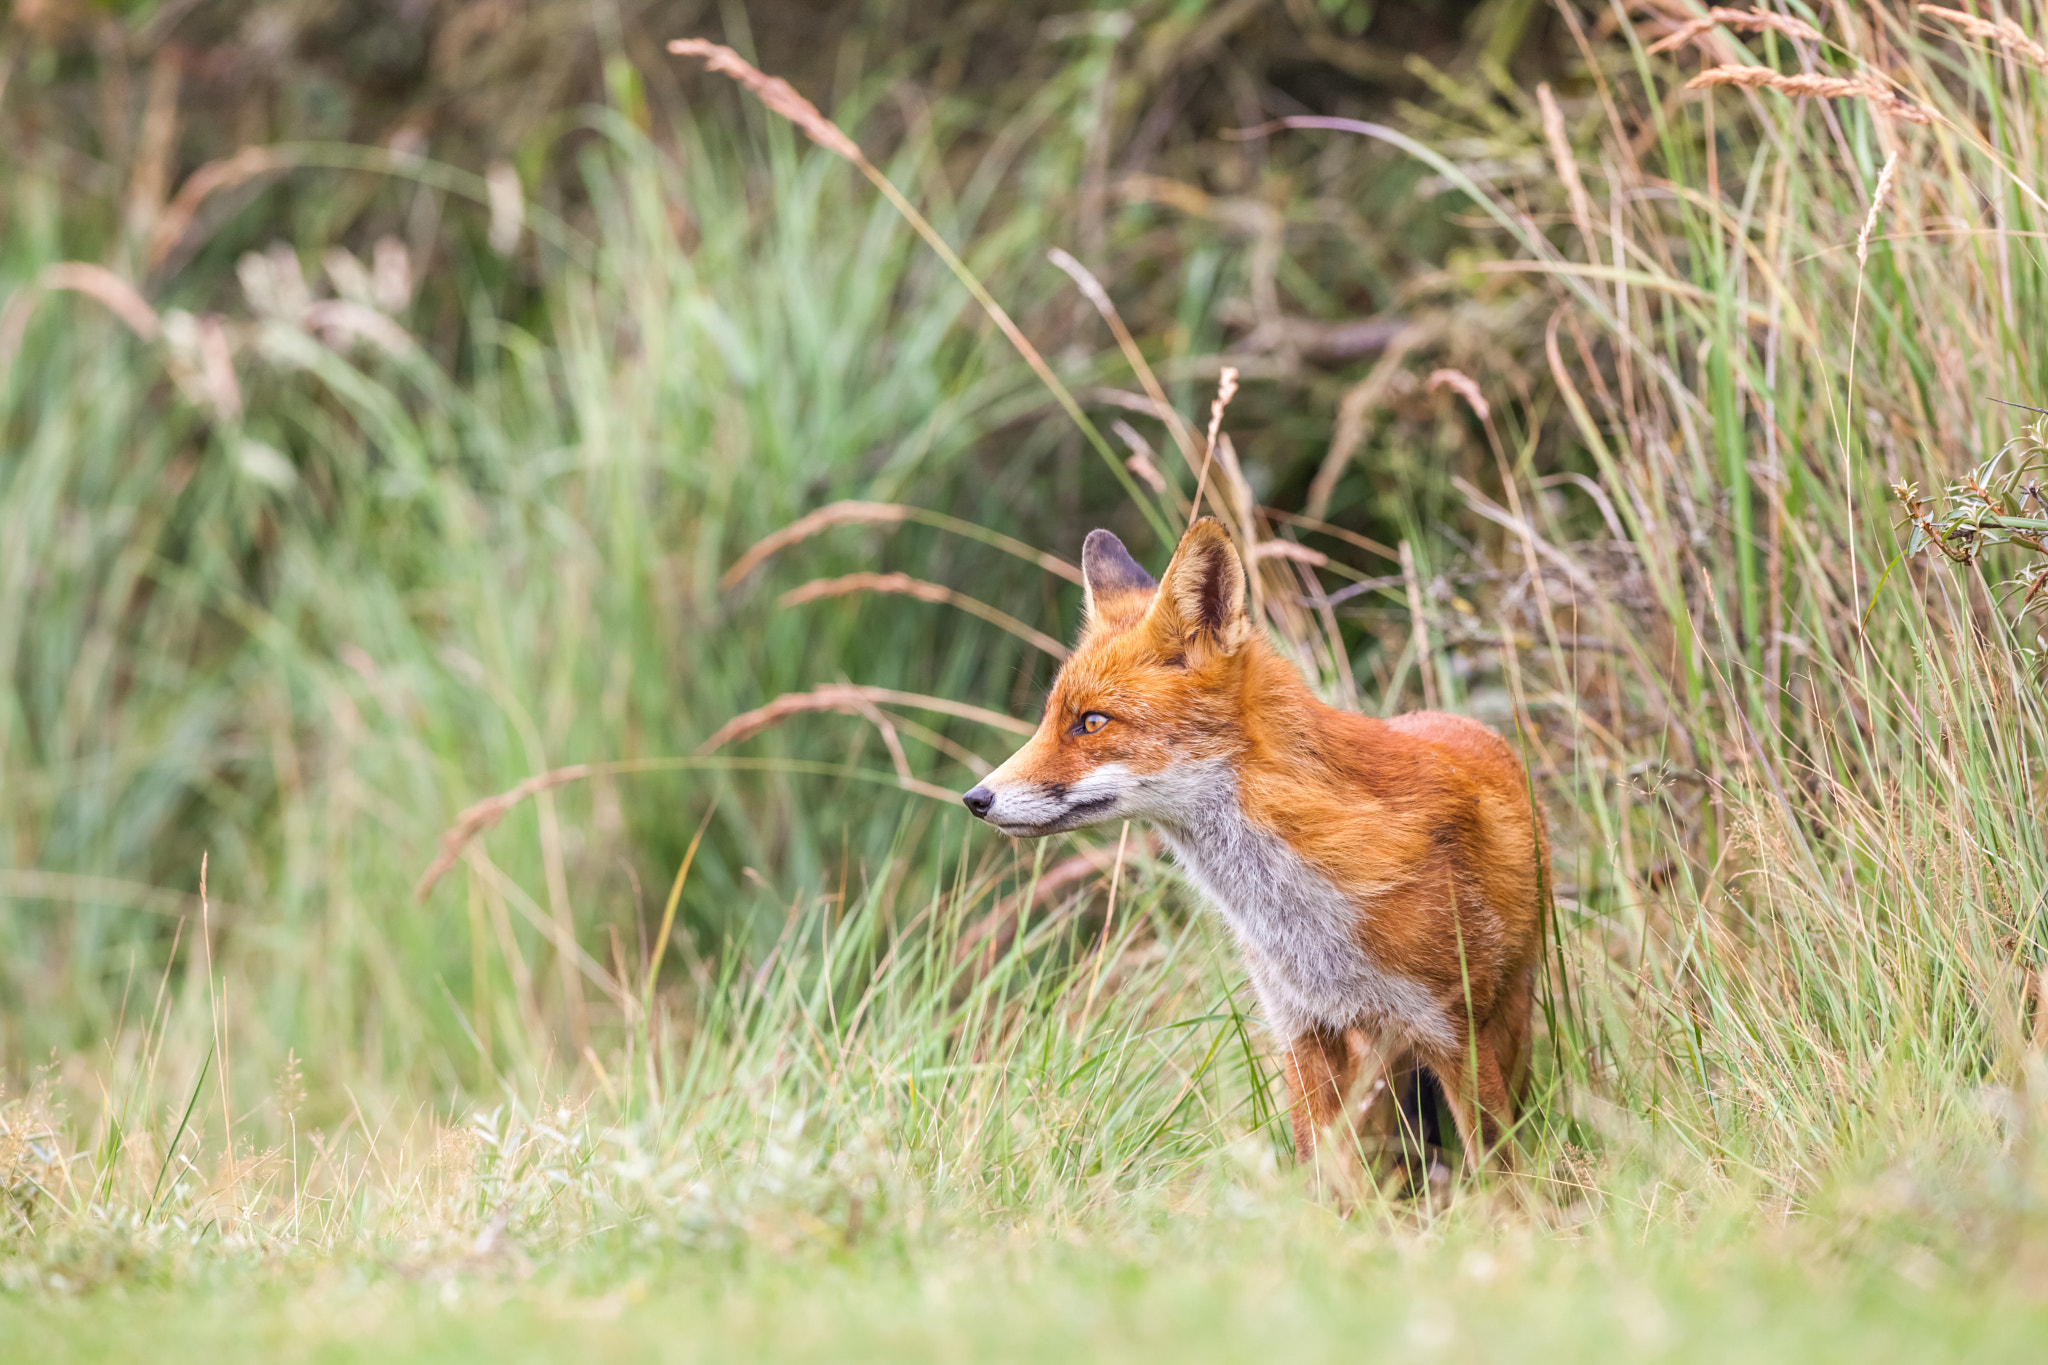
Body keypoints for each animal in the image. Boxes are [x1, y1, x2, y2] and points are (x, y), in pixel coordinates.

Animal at [962, 517, 1548, 1170]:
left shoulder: (1452, 1030)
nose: (976, 798)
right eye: (1048, 719)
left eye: (1091, 722)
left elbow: (1498, 1174)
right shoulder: (1299, 1029)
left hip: (1503, 1025)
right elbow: (1323, 1174)